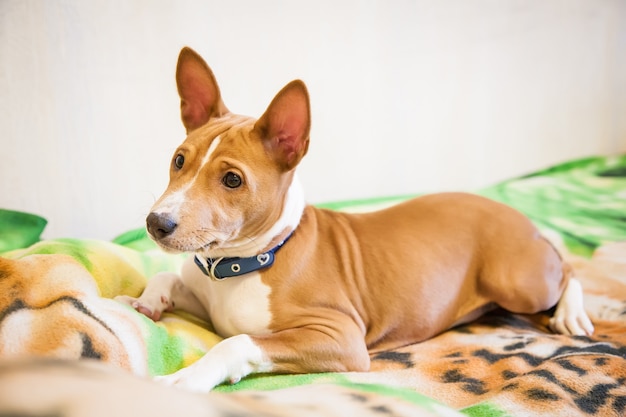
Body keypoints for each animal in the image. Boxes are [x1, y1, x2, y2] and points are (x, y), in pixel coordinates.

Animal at [116, 47, 588, 392]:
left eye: (232, 180)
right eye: (179, 161)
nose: (157, 224)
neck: (242, 265)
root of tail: (518, 216)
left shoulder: (341, 337)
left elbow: (237, 342)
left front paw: (187, 377)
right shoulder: (204, 294)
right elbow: (167, 276)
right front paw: (147, 302)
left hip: (519, 282)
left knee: (567, 268)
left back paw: (572, 315)